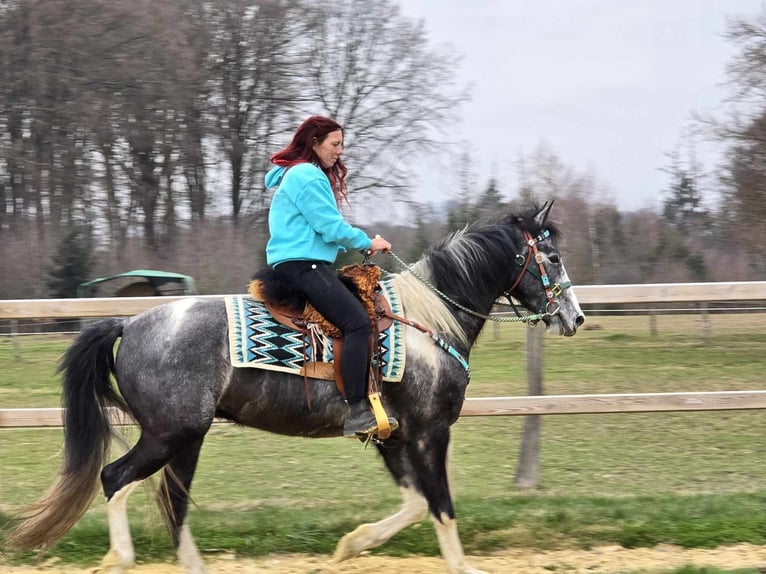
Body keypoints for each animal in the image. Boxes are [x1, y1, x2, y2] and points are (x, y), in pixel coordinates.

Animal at [5, 202, 585, 574]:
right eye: (552, 258)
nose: (575, 317)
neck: (427, 322)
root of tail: (129, 323)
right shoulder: (429, 432)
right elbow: (440, 505)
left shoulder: (392, 436)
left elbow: (416, 504)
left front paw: (351, 546)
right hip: (169, 434)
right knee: (116, 479)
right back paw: (119, 556)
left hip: (185, 440)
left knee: (172, 501)